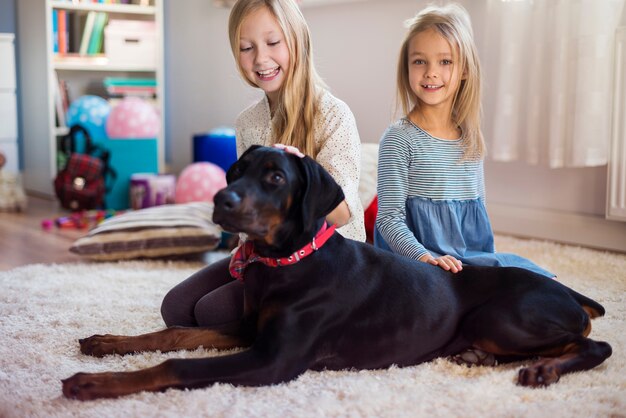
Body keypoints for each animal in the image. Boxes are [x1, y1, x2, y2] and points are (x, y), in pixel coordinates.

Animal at [62, 145, 608, 400]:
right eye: (234, 172)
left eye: (275, 177)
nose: (220, 199)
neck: (286, 264)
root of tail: (571, 294)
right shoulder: (249, 329)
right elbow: (175, 333)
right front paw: (107, 343)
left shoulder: (273, 361)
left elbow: (177, 365)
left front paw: (92, 384)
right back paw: (480, 357)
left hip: (503, 318)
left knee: (593, 344)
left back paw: (543, 369)